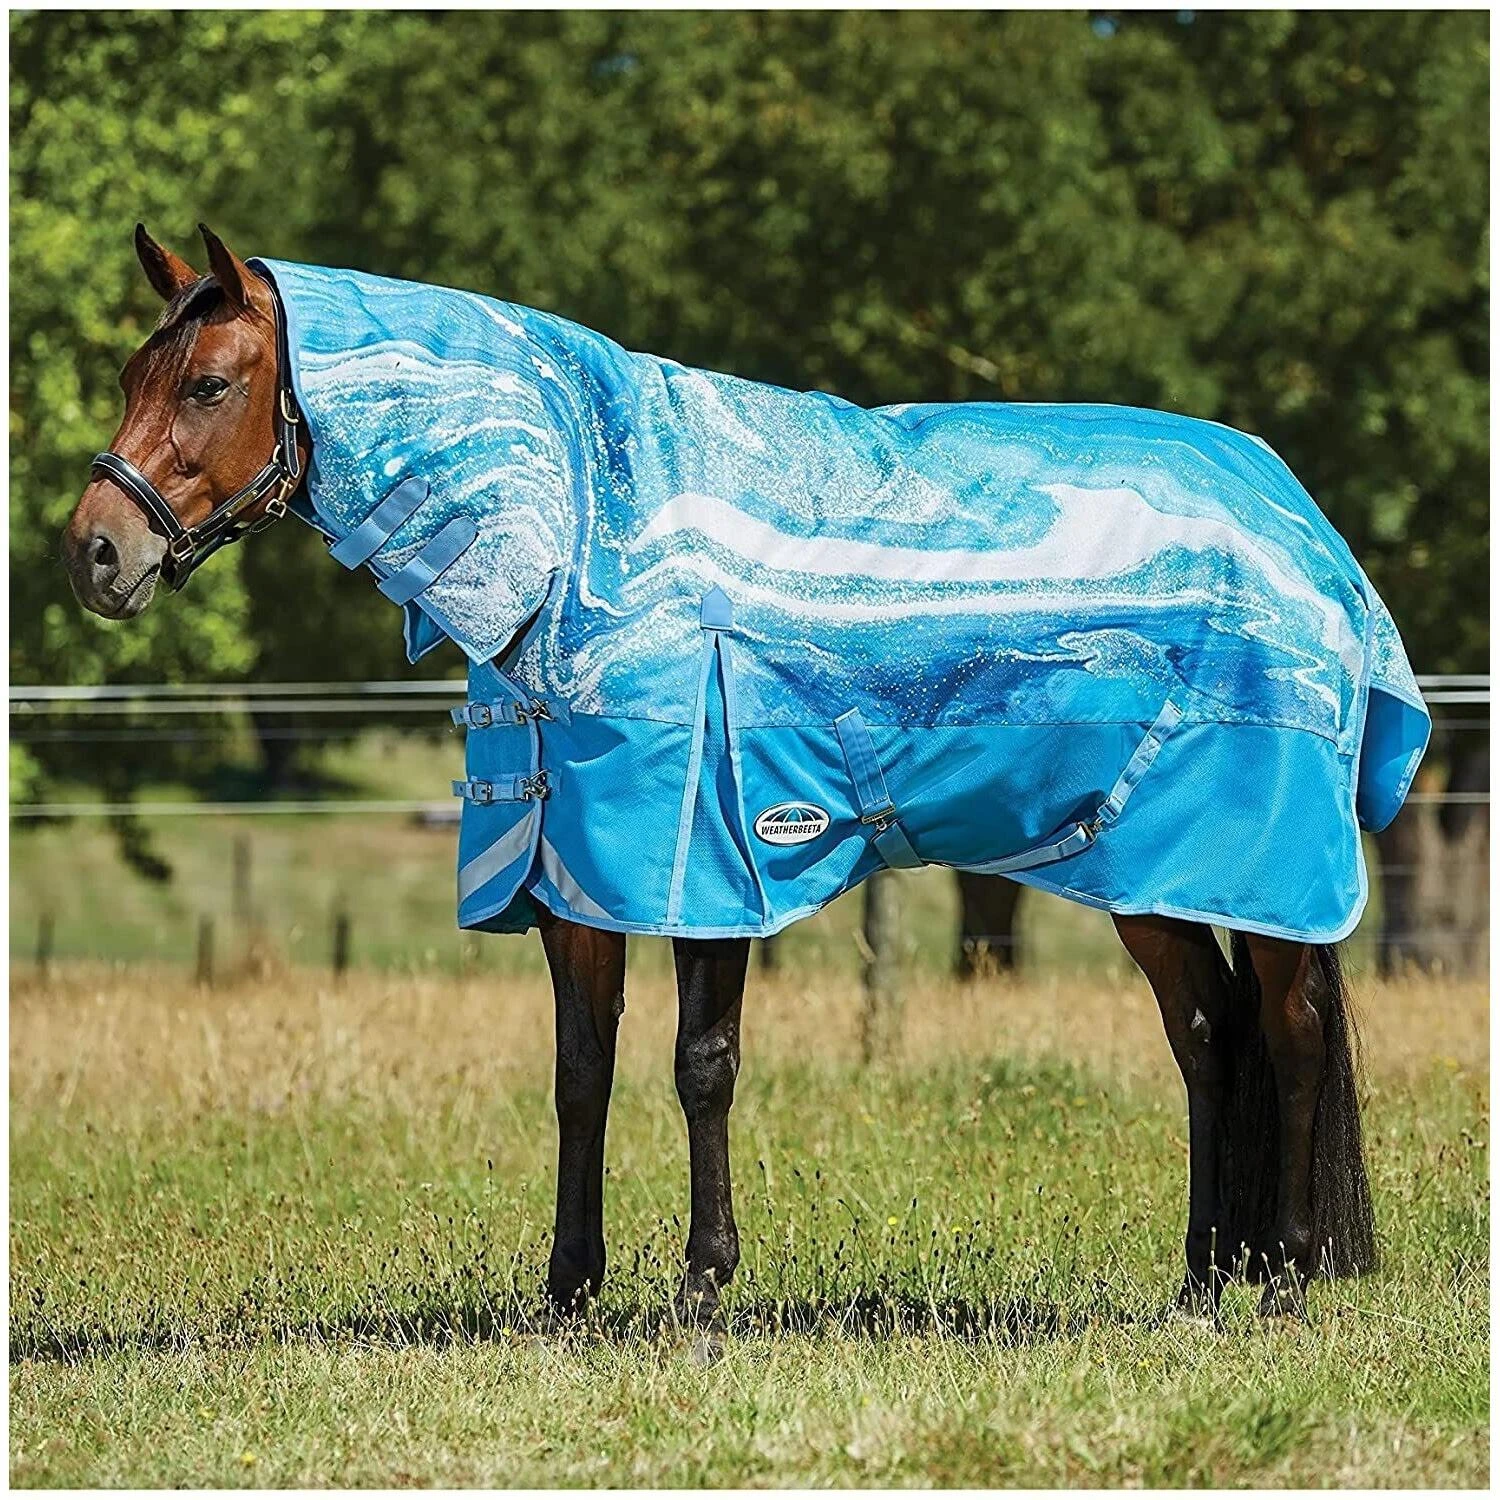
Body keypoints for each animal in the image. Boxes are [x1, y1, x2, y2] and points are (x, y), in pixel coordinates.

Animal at [63, 223, 1405, 1330]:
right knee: (1208, 1037)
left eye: (209, 383)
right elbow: (581, 1076)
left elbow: (699, 1068)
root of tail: (1305, 528)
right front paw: (569, 1292)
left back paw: (1284, 1279)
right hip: (1146, 872)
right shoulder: (576, 879)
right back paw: (1201, 1284)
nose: (94, 553)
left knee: (1287, 1033)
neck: (583, 533)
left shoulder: (708, 863)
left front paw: (704, 1286)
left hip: (1256, 868)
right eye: (131, 379)